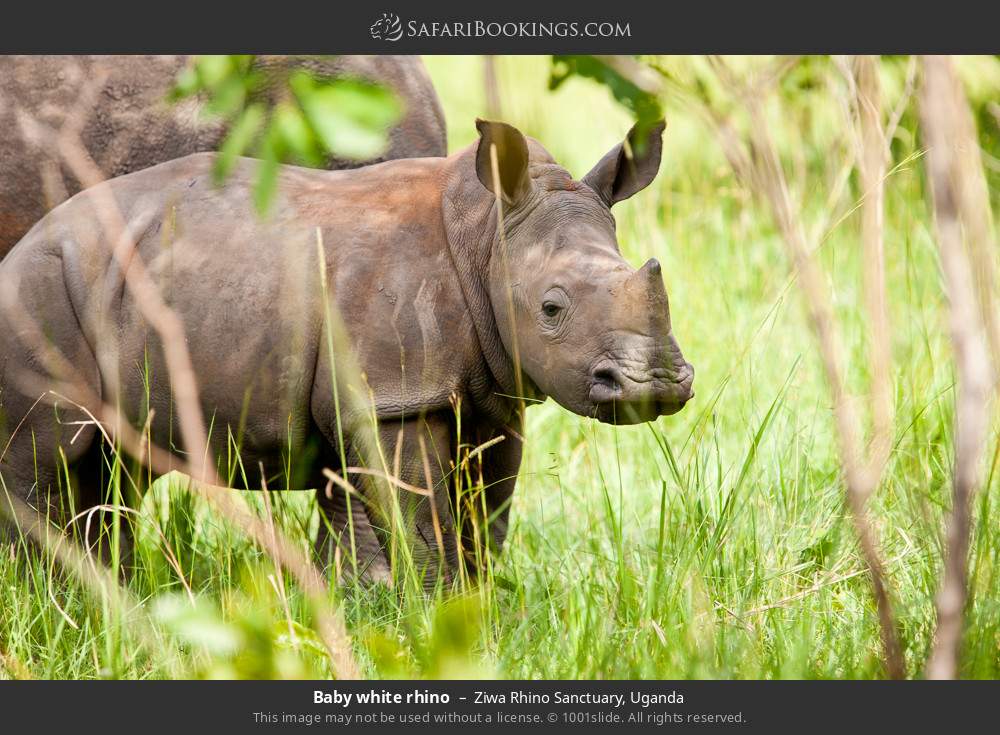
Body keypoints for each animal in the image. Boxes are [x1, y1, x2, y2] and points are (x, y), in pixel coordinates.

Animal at [0, 119, 692, 588]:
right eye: (551, 308)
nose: (656, 384)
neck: (487, 241)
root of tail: (24, 243)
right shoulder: (395, 397)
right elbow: (421, 518)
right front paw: (436, 610)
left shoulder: (496, 392)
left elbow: (484, 512)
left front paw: (469, 605)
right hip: (36, 291)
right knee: (47, 454)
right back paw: (52, 598)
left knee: (114, 465)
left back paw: (111, 595)